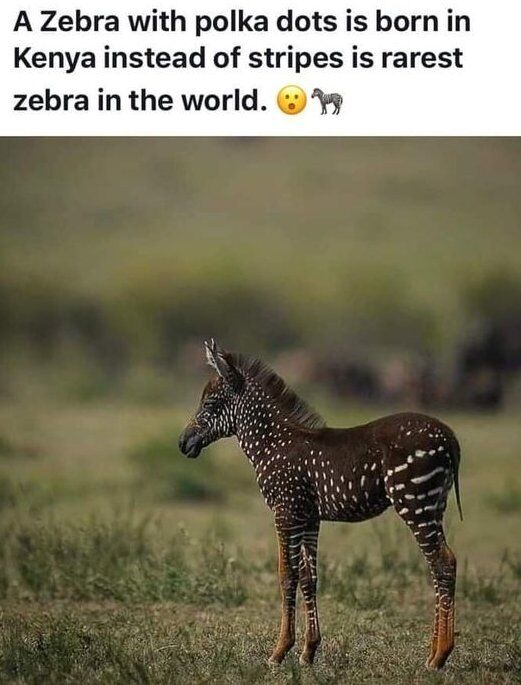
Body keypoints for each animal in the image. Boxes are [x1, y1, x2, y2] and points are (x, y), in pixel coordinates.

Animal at [179, 340, 462, 670]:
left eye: (210, 404)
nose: (182, 443)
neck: (272, 443)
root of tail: (449, 435)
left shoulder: (285, 511)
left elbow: (286, 574)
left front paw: (279, 651)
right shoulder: (309, 516)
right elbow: (308, 577)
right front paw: (308, 651)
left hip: (415, 504)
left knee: (443, 562)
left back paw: (440, 656)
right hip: (433, 506)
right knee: (440, 565)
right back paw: (433, 652)